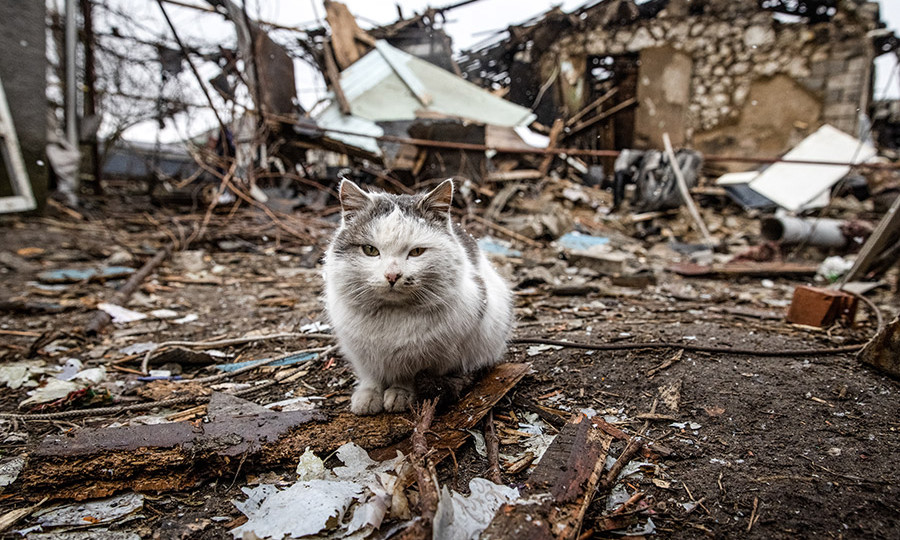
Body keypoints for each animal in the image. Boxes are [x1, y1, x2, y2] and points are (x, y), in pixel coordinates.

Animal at [322, 179, 512, 416]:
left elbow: (409, 376)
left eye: (416, 252)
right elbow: (371, 376)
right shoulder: (360, 353)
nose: (392, 275)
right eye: (370, 250)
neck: (391, 316)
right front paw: (368, 396)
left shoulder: (430, 358)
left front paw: (400, 394)